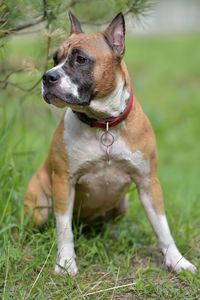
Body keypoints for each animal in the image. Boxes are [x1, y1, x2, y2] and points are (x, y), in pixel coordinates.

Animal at [23, 11, 197, 276]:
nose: (47, 76)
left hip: (121, 206)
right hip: (38, 208)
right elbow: (64, 230)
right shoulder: (64, 182)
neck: (103, 124)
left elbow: (163, 228)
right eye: (55, 58)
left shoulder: (148, 183)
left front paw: (177, 261)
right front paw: (65, 263)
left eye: (81, 59)